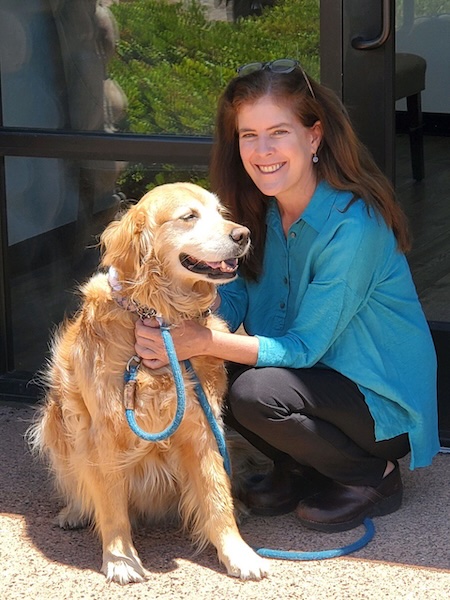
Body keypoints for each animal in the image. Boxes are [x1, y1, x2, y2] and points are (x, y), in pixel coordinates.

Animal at [28, 183, 268, 584]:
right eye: (189, 216)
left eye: (220, 213)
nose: (243, 235)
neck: (158, 315)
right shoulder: (104, 430)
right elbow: (110, 504)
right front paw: (120, 558)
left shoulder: (202, 424)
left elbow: (216, 494)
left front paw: (238, 553)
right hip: (56, 421)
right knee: (79, 480)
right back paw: (75, 511)